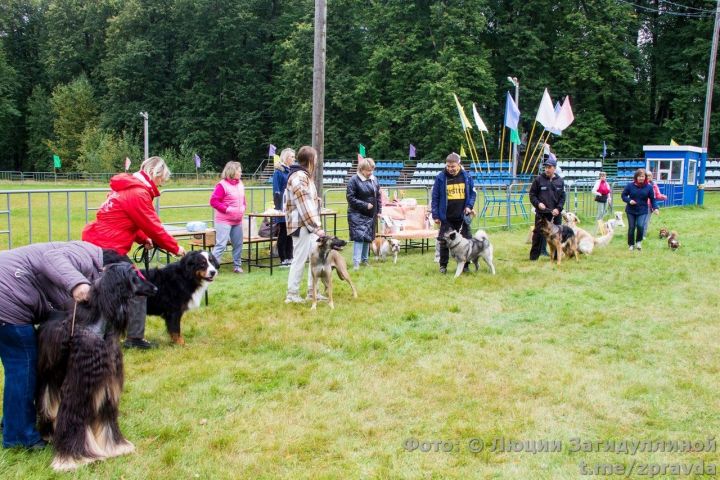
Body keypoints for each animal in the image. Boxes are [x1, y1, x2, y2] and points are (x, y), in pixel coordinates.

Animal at [36, 260, 158, 470]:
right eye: (134, 275)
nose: (155, 288)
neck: (97, 329)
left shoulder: (107, 382)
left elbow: (106, 417)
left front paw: (114, 447)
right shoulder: (79, 384)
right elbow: (73, 416)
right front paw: (70, 457)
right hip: (47, 375)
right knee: (46, 402)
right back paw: (48, 433)